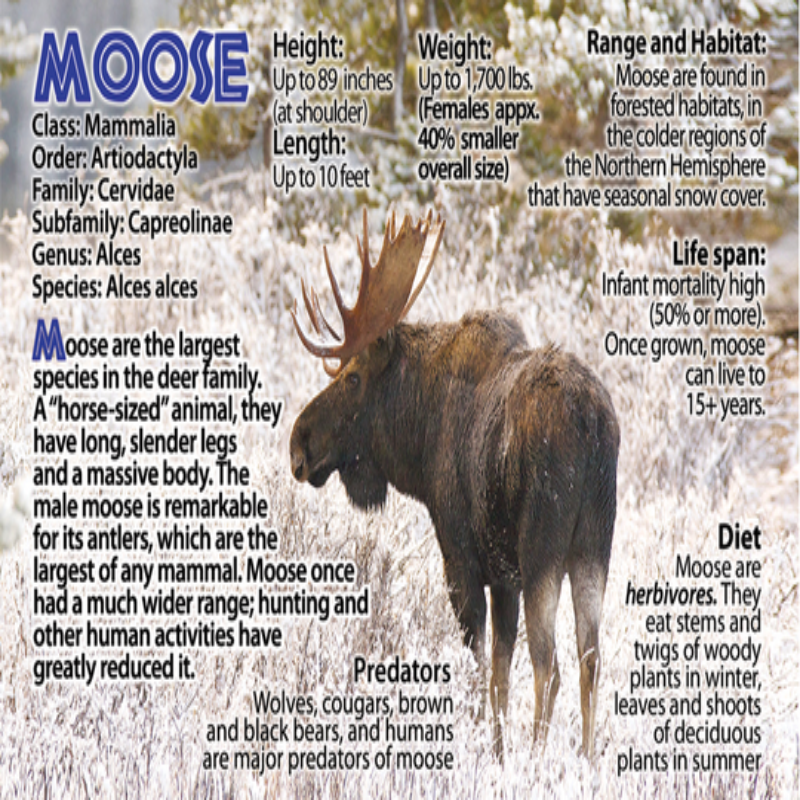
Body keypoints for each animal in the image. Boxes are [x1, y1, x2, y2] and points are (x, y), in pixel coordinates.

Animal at [289, 208, 619, 759]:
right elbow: (500, 673)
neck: (419, 440)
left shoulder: (462, 559)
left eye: (352, 376)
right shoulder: (505, 576)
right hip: (593, 545)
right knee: (590, 657)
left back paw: (538, 760)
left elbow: (480, 666)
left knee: (549, 663)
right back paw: (587, 760)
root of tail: (592, 424)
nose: (299, 443)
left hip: (543, 547)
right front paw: (498, 750)